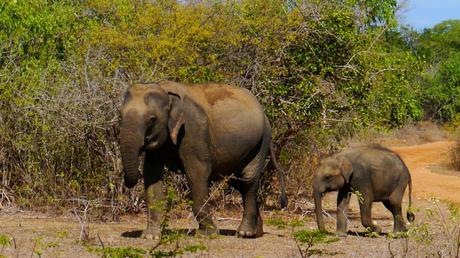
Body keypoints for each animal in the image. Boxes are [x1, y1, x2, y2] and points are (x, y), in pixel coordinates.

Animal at [120, 80, 286, 238]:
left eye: (152, 119)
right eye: (119, 114)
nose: (127, 181)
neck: (166, 91)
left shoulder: (193, 129)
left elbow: (197, 173)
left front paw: (208, 233)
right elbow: (151, 176)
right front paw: (150, 235)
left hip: (262, 141)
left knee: (248, 180)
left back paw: (246, 233)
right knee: (238, 183)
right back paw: (257, 232)